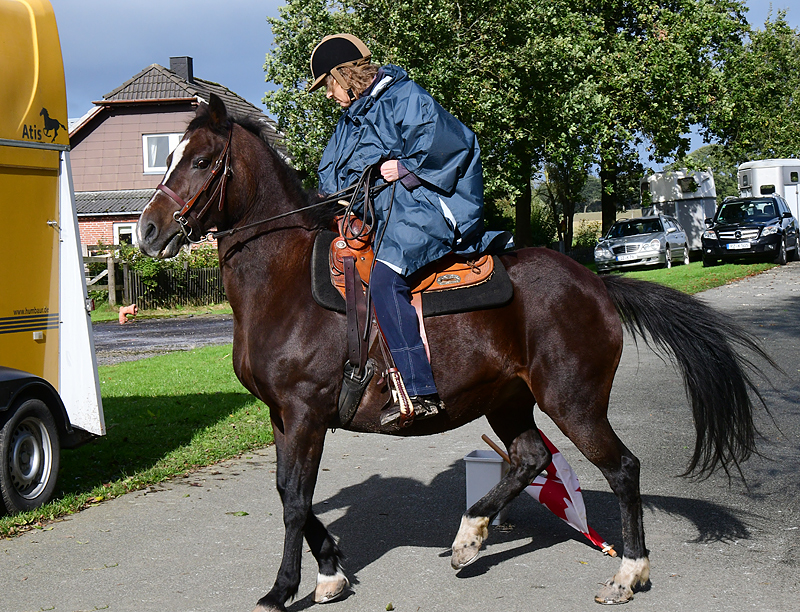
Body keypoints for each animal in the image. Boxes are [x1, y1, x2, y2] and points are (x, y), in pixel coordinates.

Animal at [136, 94, 768, 608]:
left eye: (199, 161)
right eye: (168, 156)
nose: (146, 231)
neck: (284, 282)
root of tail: (596, 283)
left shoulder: (304, 412)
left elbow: (294, 498)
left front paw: (283, 589)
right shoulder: (280, 415)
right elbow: (291, 493)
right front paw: (332, 571)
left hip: (575, 402)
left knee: (622, 468)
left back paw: (628, 573)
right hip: (508, 400)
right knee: (530, 458)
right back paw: (471, 536)